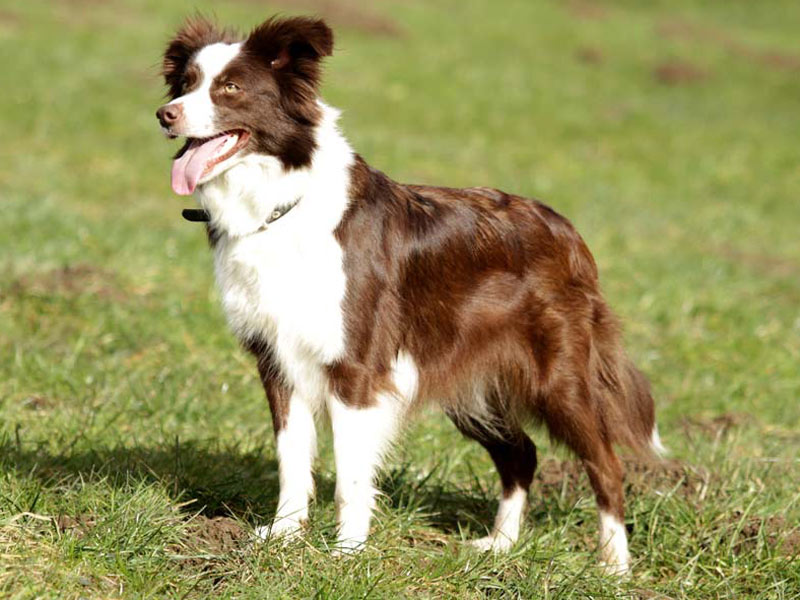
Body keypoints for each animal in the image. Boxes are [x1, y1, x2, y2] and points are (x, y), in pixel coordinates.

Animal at [156, 16, 664, 576]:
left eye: (230, 88)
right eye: (185, 84)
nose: (165, 115)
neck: (280, 201)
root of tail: (567, 231)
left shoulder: (356, 369)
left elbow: (351, 477)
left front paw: (346, 553)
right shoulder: (276, 359)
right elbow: (291, 460)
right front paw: (283, 540)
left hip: (558, 378)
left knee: (606, 462)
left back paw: (614, 566)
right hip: (471, 385)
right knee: (521, 453)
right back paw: (500, 546)